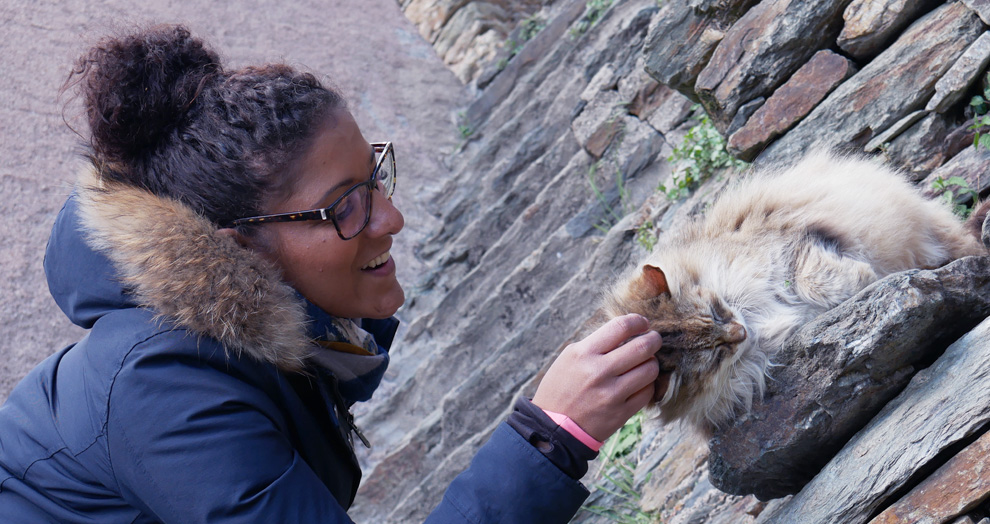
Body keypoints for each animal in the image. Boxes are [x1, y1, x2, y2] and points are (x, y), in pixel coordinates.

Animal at [604, 150, 984, 434]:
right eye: (715, 356)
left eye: (716, 311)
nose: (739, 333)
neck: (757, 320)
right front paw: (865, 279)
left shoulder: (791, 248)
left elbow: (822, 280)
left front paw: (865, 276)